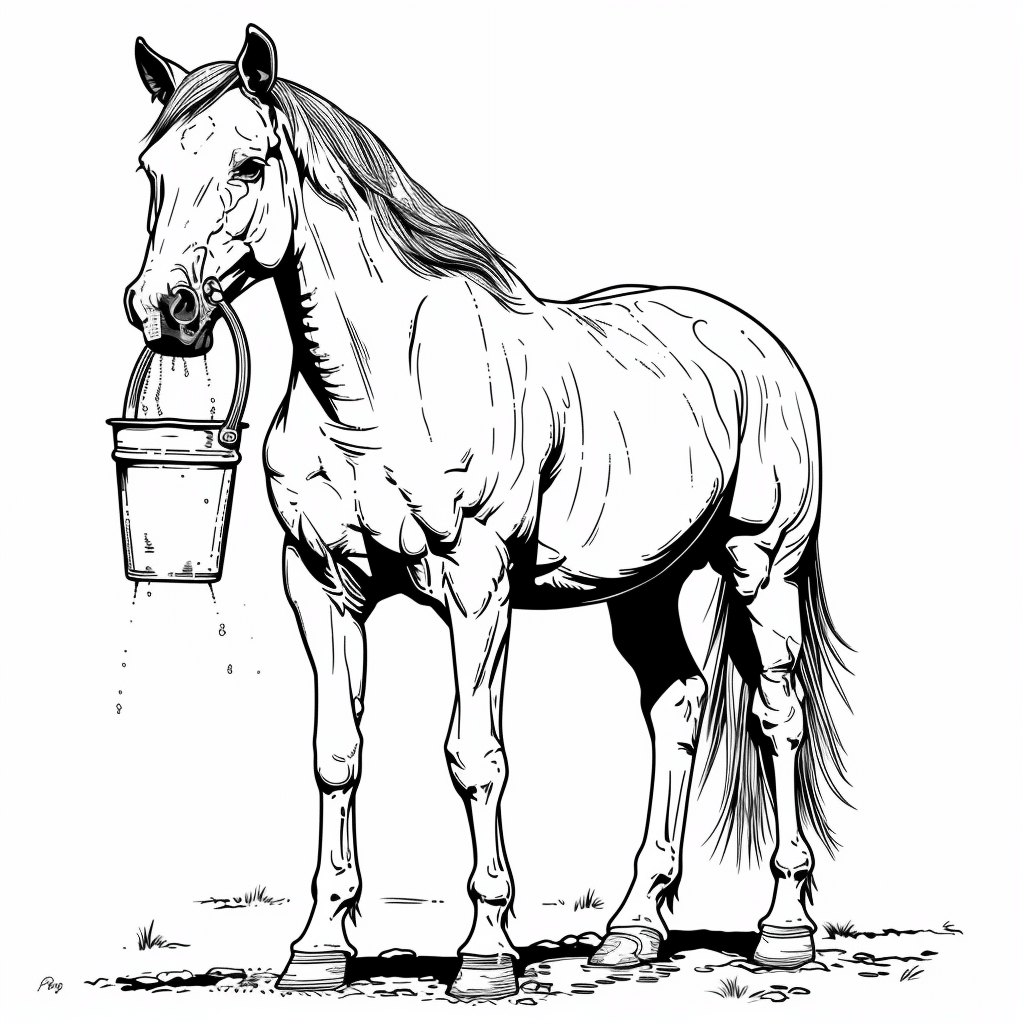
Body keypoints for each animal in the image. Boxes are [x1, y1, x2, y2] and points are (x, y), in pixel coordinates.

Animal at [124, 25, 850, 1000]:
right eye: (151, 168)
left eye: (248, 163)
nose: (163, 310)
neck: (378, 393)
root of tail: (754, 342)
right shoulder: (321, 586)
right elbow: (336, 755)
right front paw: (317, 951)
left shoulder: (476, 587)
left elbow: (476, 757)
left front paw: (486, 955)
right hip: (648, 587)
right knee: (678, 707)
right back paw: (631, 931)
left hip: (760, 565)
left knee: (777, 716)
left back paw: (784, 930)